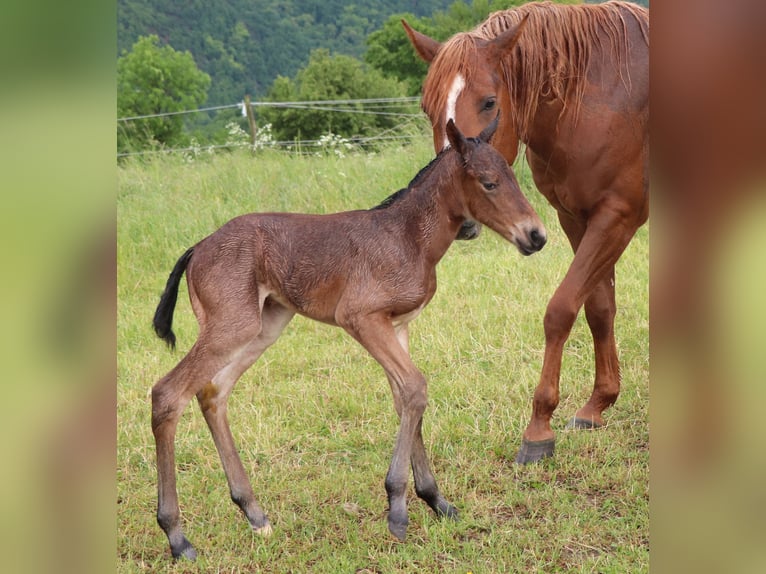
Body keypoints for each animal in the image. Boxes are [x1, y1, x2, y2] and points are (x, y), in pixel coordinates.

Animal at [150, 118, 546, 558]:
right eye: (489, 182)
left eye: (515, 176)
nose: (536, 236)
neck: (409, 237)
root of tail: (198, 248)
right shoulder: (360, 318)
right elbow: (416, 387)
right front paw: (398, 510)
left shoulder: (398, 326)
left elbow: (406, 398)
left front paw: (436, 501)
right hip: (231, 325)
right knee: (168, 394)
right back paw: (177, 535)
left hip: (265, 325)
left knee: (213, 392)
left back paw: (254, 512)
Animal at [403, 0, 649, 463]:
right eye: (427, 108)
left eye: (488, 102)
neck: (595, 99)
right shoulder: (577, 217)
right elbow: (598, 308)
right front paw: (597, 404)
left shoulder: (618, 216)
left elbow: (561, 309)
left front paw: (539, 427)